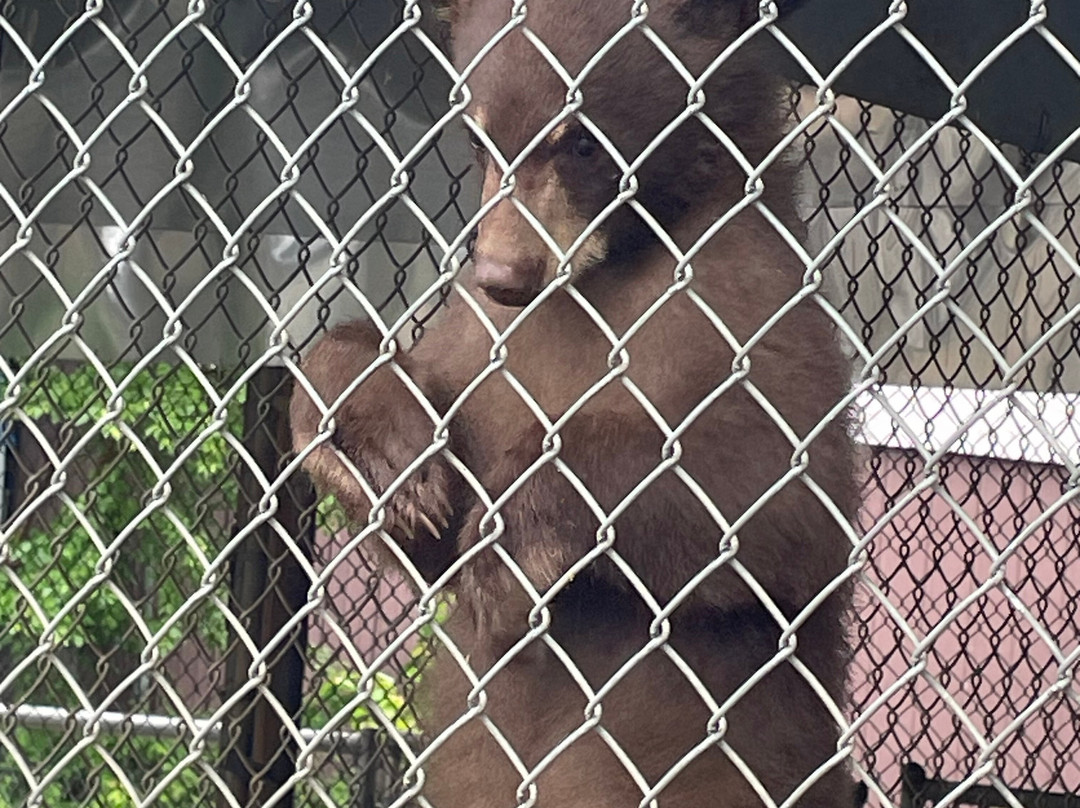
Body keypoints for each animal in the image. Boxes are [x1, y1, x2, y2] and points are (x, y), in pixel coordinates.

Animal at [290, 1, 861, 806]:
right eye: (478, 139)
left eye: (583, 142)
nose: (502, 273)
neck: (606, 270)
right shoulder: (481, 344)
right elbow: (431, 532)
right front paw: (381, 449)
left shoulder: (754, 298)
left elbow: (788, 499)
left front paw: (513, 537)